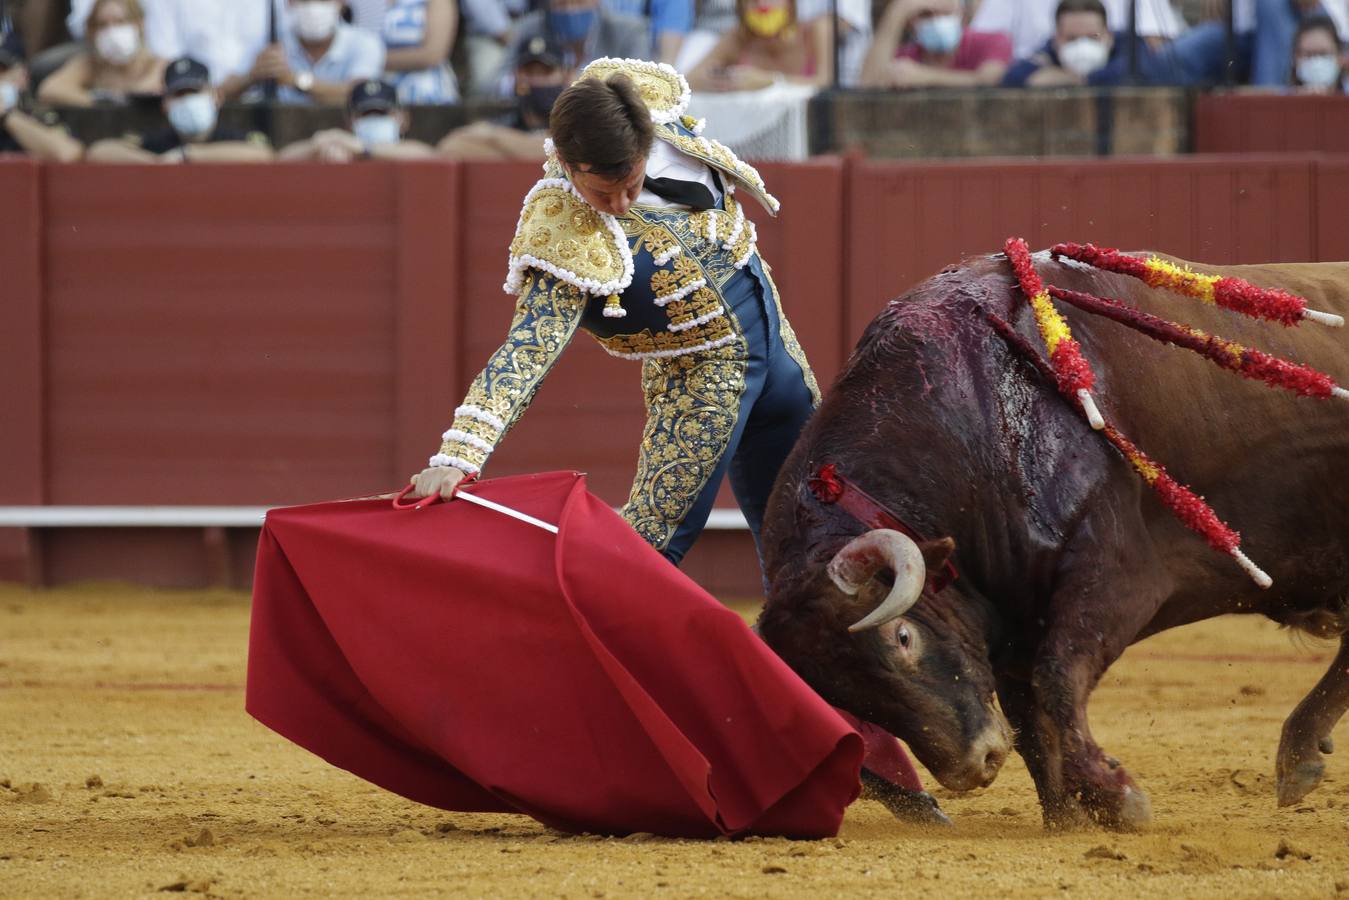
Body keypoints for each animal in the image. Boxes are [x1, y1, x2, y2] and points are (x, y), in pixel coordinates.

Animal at [760, 253, 1349, 831]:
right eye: (840, 695)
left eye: (903, 638)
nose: (974, 765)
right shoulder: (1013, 623)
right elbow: (1030, 720)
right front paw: (1068, 816)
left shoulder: (1115, 577)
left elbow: (1058, 679)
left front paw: (1118, 797)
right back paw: (1299, 758)